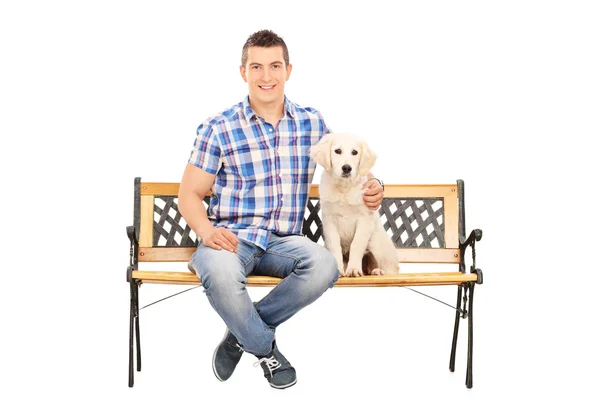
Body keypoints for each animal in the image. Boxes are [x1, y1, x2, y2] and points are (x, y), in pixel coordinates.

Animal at [310, 133, 398, 276]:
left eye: (355, 152)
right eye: (337, 151)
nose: (347, 168)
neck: (344, 188)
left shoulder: (364, 219)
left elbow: (356, 244)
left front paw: (354, 269)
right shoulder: (329, 220)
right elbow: (335, 244)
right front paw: (338, 268)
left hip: (378, 245)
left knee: (392, 269)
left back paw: (379, 271)